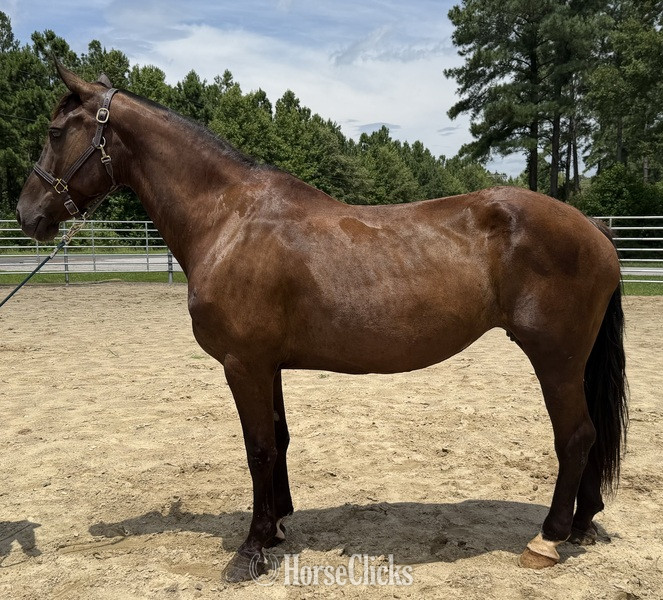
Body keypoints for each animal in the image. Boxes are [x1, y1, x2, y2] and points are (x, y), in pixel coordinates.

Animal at [16, 63, 628, 582]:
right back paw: (581, 523)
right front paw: (277, 528)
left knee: (576, 435)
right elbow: (279, 439)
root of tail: (595, 228)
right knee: (591, 436)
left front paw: (251, 548)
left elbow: (259, 448)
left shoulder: (243, 363)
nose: (27, 215)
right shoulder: (267, 365)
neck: (229, 219)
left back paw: (547, 539)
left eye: (54, 131)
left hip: (555, 359)